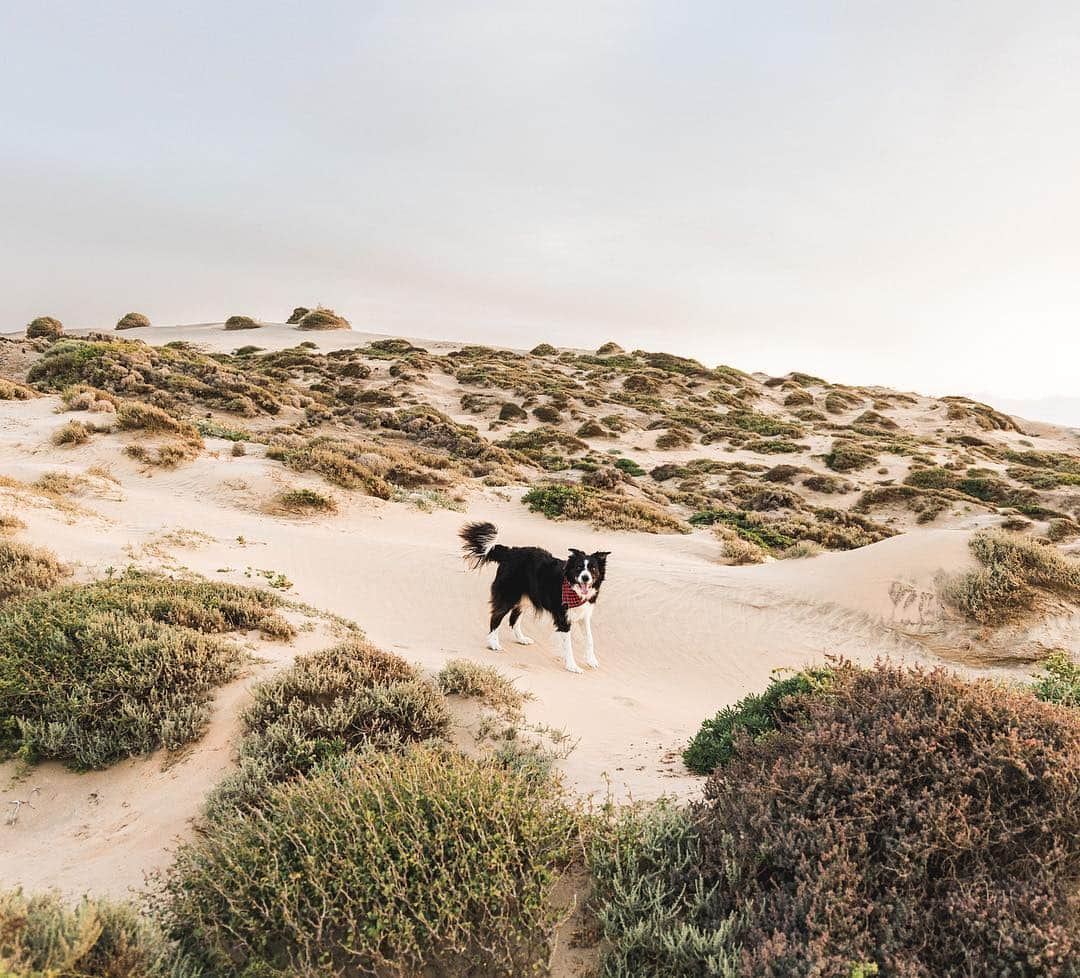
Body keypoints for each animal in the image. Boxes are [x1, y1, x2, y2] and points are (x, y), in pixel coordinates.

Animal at [455, 518, 609, 669]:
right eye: (578, 568)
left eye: (593, 569)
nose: (585, 578)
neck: (573, 588)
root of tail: (510, 552)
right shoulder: (563, 618)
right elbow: (568, 645)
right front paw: (572, 666)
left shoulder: (584, 615)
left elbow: (589, 639)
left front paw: (592, 661)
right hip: (508, 596)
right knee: (496, 617)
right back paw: (493, 644)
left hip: (524, 598)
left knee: (513, 618)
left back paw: (521, 639)